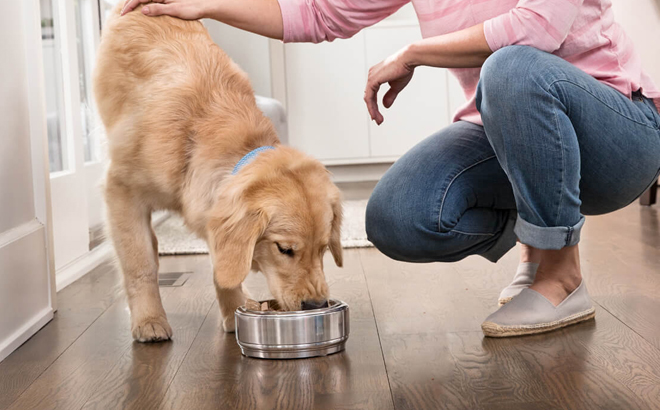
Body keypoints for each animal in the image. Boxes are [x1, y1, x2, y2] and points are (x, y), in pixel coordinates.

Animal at [95, 4, 342, 342]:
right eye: (284, 249)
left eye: (323, 248)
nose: (315, 305)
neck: (198, 133)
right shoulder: (121, 191)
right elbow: (139, 263)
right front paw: (149, 320)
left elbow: (223, 268)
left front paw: (235, 309)